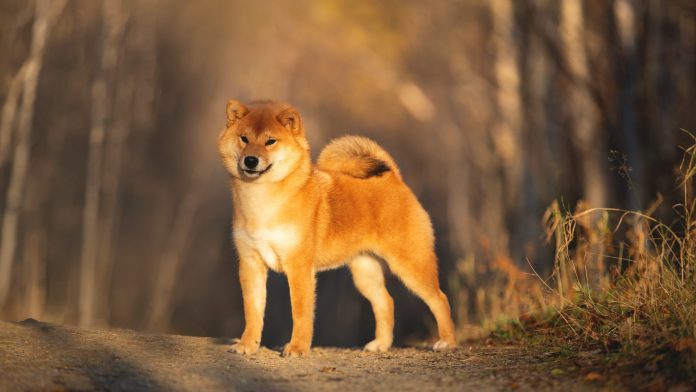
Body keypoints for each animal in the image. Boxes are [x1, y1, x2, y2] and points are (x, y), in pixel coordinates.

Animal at [219, 99, 456, 356]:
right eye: (244, 138)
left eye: (270, 141)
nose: (251, 160)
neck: (261, 201)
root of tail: (395, 179)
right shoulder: (250, 263)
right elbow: (253, 312)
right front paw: (247, 345)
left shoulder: (299, 266)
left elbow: (300, 313)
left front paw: (297, 347)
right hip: (365, 271)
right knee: (386, 302)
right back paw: (380, 344)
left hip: (411, 265)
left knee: (440, 299)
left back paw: (447, 341)